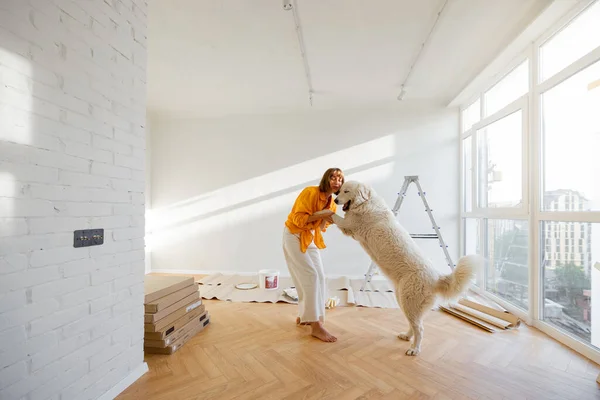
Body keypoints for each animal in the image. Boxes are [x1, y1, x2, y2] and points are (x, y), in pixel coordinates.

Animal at [330, 180, 480, 354]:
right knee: (413, 324)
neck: (366, 203)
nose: (335, 200)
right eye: (340, 190)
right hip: (403, 301)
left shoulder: (349, 224)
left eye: (346, 191)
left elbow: (331, 214)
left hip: (409, 302)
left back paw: (414, 349)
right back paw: (407, 336)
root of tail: (436, 278)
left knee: (420, 328)